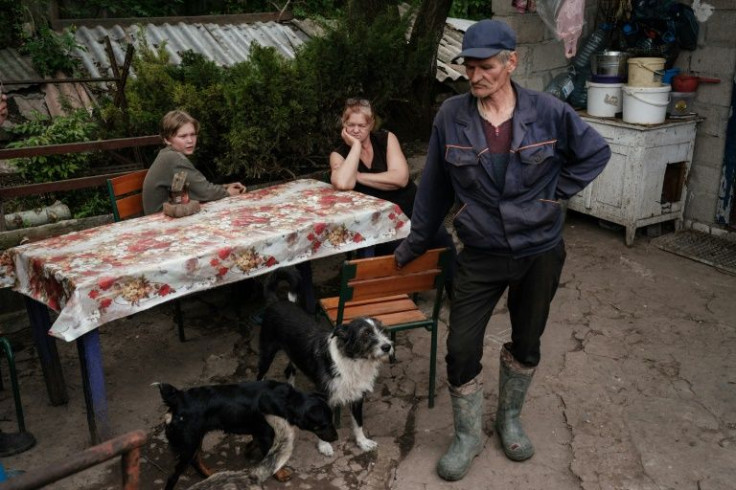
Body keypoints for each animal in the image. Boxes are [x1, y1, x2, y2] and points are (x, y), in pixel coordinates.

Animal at [160, 378, 338, 490]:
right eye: (323, 425)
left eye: (332, 420)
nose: (336, 438)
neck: (287, 400)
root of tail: (176, 399)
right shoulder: (267, 434)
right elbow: (271, 457)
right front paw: (280, 475)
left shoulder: (262, 431)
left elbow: (255, 443)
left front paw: (248, 450)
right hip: (189, 444)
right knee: (173, 476)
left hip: (194, 440)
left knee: (196, 460)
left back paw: (210, 474)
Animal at [258, 272, 394, 456]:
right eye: (366, 334)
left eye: (383, 331)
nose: (388, 347)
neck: (354, 361)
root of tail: (276, 301)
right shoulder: (325, 395)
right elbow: (322, 423)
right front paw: (324, 446)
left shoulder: (357, 395)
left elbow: (358, 422)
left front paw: (363, 442)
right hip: (266, 354)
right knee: (260, 376)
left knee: (289, 372)